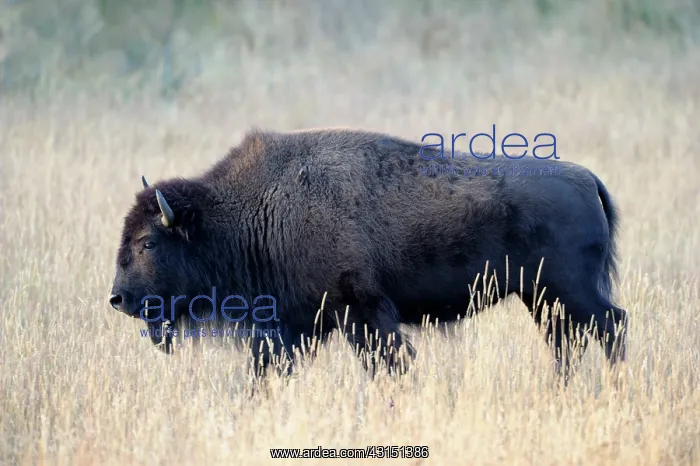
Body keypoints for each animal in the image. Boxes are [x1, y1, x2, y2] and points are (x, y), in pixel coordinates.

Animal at [109, 128, 627, 381]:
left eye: (148, 242)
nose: (118, 298)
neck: (257, 208)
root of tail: (588, 179)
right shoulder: (294, 325)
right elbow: (267, 370)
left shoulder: (361, 313)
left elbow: (389, 363)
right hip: (541, 297)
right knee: (568, 342)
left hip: (569, 291)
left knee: (611, 325)